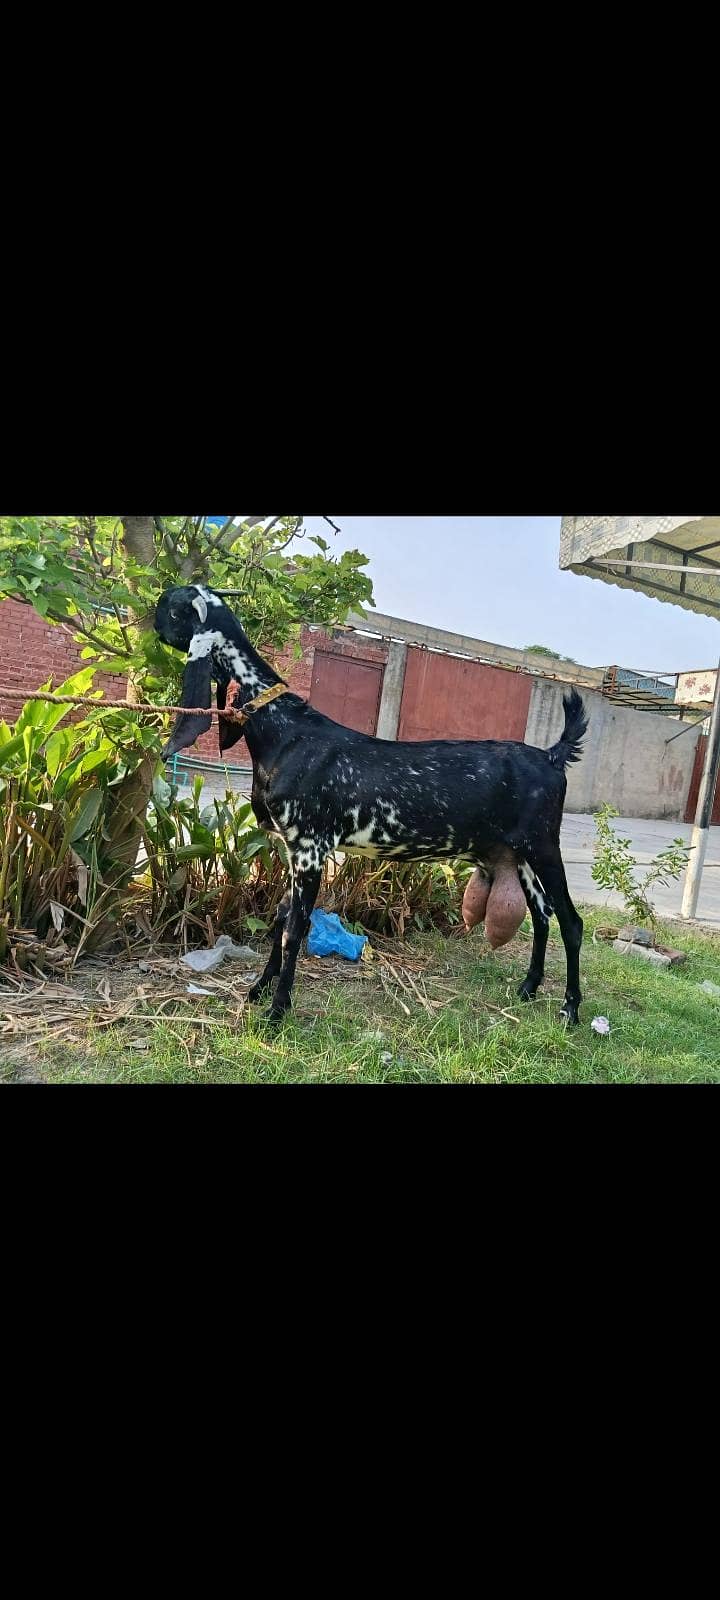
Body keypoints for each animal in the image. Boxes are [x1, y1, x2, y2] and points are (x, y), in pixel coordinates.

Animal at [155, 586, 589, 1025]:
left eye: (172, 607)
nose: (151, 621)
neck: (287, 731)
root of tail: (552, 756)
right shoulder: (295, 850)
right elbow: (280, 918)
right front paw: (259, 990)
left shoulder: (311, 848)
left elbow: (295, 928)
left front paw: (277, 1010)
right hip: (518, 854)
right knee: (542, 915)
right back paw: (529, 987)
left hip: (543, 845)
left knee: (571, 921)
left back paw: (570, 1008)